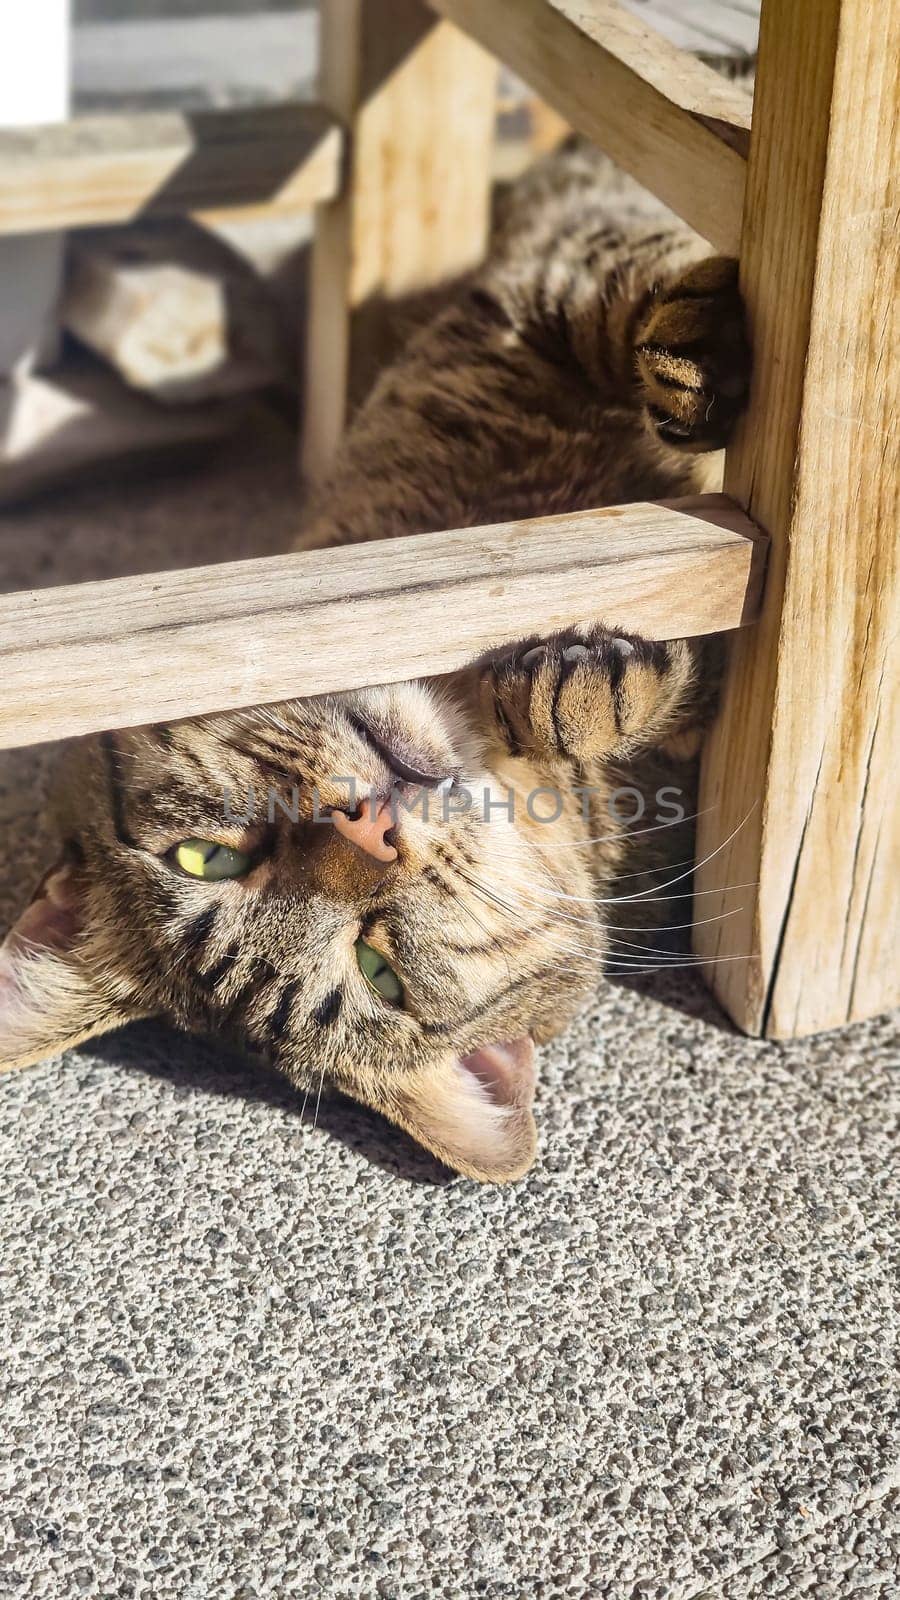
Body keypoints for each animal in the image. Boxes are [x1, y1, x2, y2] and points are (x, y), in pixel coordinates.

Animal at [0, 147, 743, 1177]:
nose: (374, 828)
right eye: (377, 969)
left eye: (207, 858)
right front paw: (592, 695)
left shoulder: (521, 311)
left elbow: (613, 283)